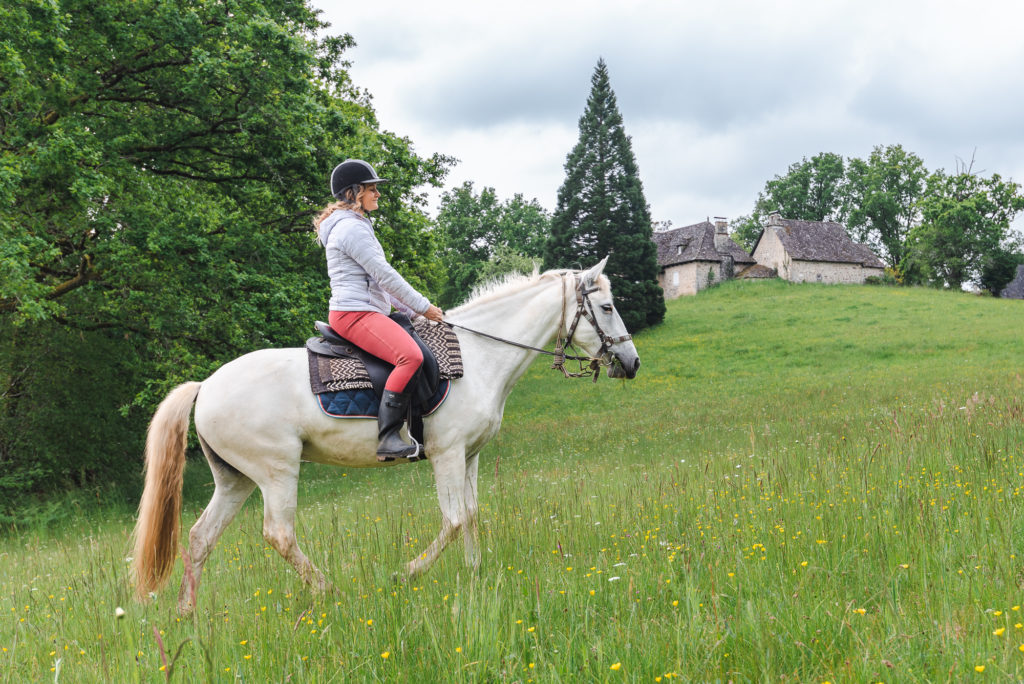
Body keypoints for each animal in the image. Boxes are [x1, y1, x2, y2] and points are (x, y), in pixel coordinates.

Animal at [132, 258, 634, 614]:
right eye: (607, 308)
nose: (631, 363)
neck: (478, 355)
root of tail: (206, 386)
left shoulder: (469, 456)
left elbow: (471, 515)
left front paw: (475, 572)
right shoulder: (447, 454)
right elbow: (453, 520)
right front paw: (407, 572)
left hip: (235, 480)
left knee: (200, 537)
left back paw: (187, 614)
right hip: (276, 472)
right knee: (279, 534)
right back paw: (328, 590)